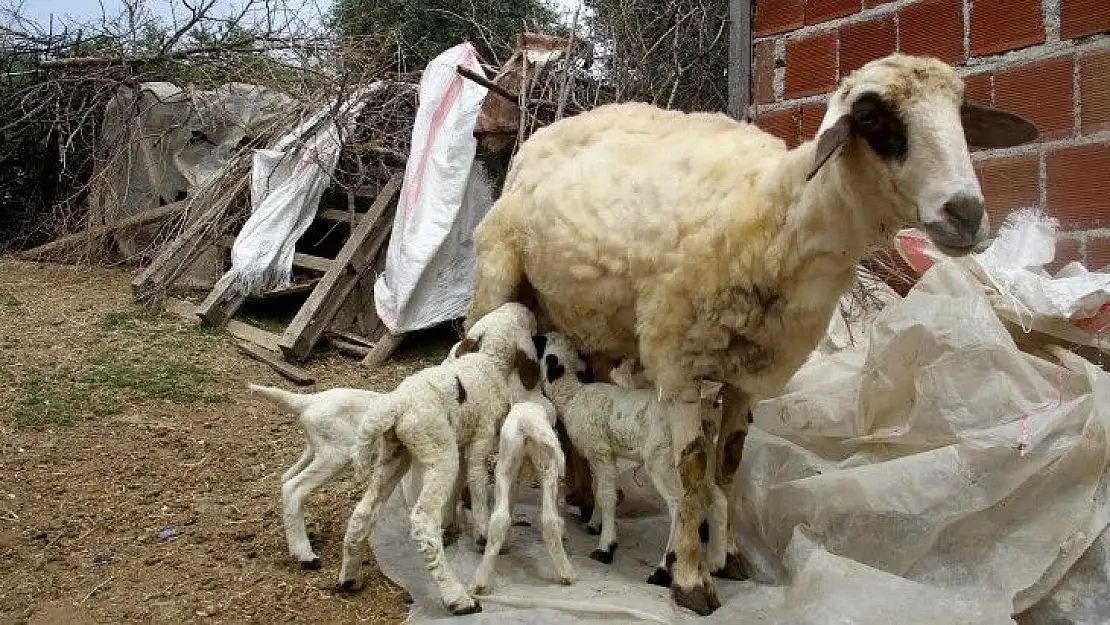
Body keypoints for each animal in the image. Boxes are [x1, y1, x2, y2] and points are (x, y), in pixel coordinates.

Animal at [337, 304, 546, 617]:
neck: (487, 361)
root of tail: (395, 405)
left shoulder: (461, 440)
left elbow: (460, 485)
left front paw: (452, 526)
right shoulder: (481, 439)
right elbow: (477, 483)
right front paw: (482, 535)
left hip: (395, 455)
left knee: (364, 512)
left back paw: (349, 576)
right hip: (438, 452)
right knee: (423, 522)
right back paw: (458, 597)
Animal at [468, 395, 577, 595]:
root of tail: (527, 424)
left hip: (507, 464)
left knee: (500, 518)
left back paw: (480, 582)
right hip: (546, 466)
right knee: (547, 518)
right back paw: (567, 572)